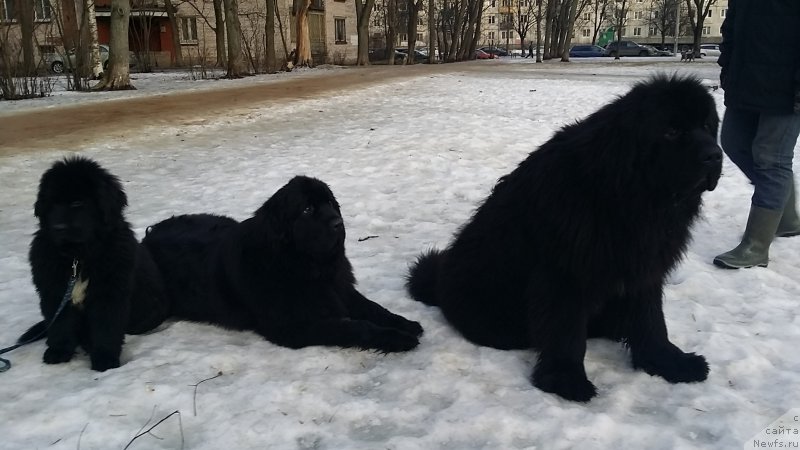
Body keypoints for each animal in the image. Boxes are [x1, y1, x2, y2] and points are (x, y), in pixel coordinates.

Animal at [21, 156, 170, 370]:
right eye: (52, 203)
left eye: (77, 203)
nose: (58, 228)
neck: (78, 257)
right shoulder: (54, 291)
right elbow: (60, 325)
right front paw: (58, 351)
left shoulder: (109, 294)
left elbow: (106, 328)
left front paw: (105, 359)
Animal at [142, 175, 424, 352]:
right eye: (308, 210)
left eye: (330, 203)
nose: (338, 223)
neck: (304, 265)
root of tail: (149, 235)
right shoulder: (293, 325)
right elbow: (355, 326)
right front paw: (396, 338)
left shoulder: (340, 289)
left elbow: (373, 308)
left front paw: (404, 323)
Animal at [406, 75, 720, 402]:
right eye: (671, 131)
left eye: (708, 126)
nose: (715, 155)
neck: (628, 195)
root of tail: (438, 280)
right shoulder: (564, 274)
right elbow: (566, 332)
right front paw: (565, 379)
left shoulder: (644, 267)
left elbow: (651, 320)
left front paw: (668, 362)